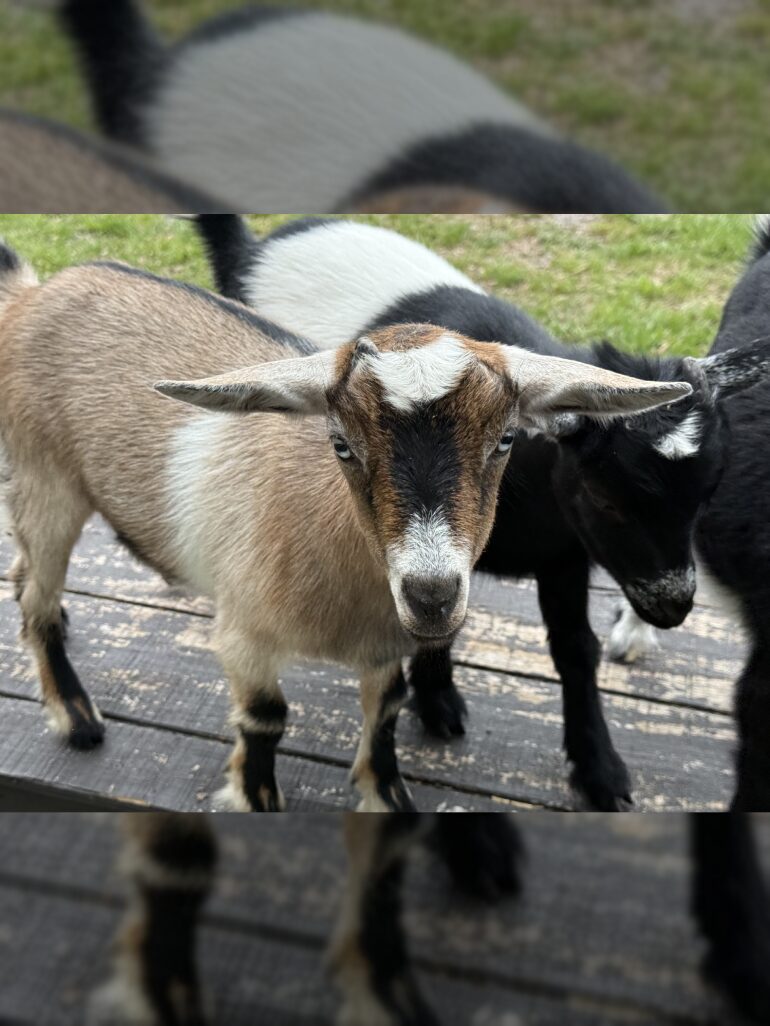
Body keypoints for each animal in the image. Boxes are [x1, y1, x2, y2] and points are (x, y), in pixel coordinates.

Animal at [0, 239, 688, 812]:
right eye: (341, 444)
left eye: (506, 440)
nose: (432, 596)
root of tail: (35, 292)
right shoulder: (243, 639)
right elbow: (266, 719)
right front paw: (256, 799)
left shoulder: (385, 648)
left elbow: (385, 714)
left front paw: (388, 798)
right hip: (45, 478)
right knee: (36, 595)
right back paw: (77, 718)